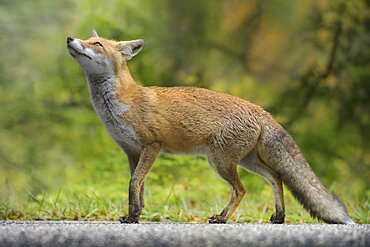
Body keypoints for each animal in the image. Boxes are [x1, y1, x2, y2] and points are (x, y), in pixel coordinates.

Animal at [67, 29, 356, 225]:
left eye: (96, 44)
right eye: (87, 38)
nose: (70, 39)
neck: (122, 103)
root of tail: (259, 109)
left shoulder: (152, 145)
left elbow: (134, 182)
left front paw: (133, 217)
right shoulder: (132, 152)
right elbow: (138, 186)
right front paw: (135, 214)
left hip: (221, 162)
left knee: (242, 189)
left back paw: (223, 218)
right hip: (246, 160)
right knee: (276, 177)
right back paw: (279, 216)